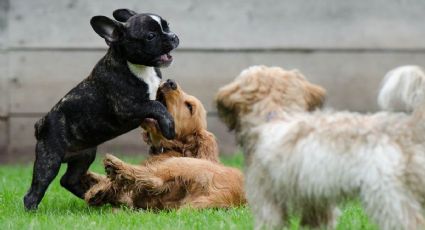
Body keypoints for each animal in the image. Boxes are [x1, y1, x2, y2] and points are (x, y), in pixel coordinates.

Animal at [83, 79, 245, 210]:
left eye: (190, 107)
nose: (170, 82)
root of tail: (227, 195)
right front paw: (93, 179)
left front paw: (98, 188)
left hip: (181, 164)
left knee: (153, 179)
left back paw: (114, 167)